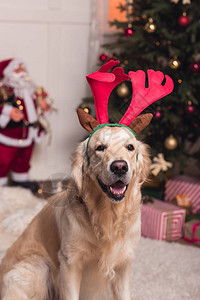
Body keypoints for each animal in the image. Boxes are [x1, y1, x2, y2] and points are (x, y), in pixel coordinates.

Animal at [0, 124, 150, 300]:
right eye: (100, 147)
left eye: (130, 147)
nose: (119, 167)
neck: (107, 216)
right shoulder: (70, 262)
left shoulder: (124, 262)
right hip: (39, 265)